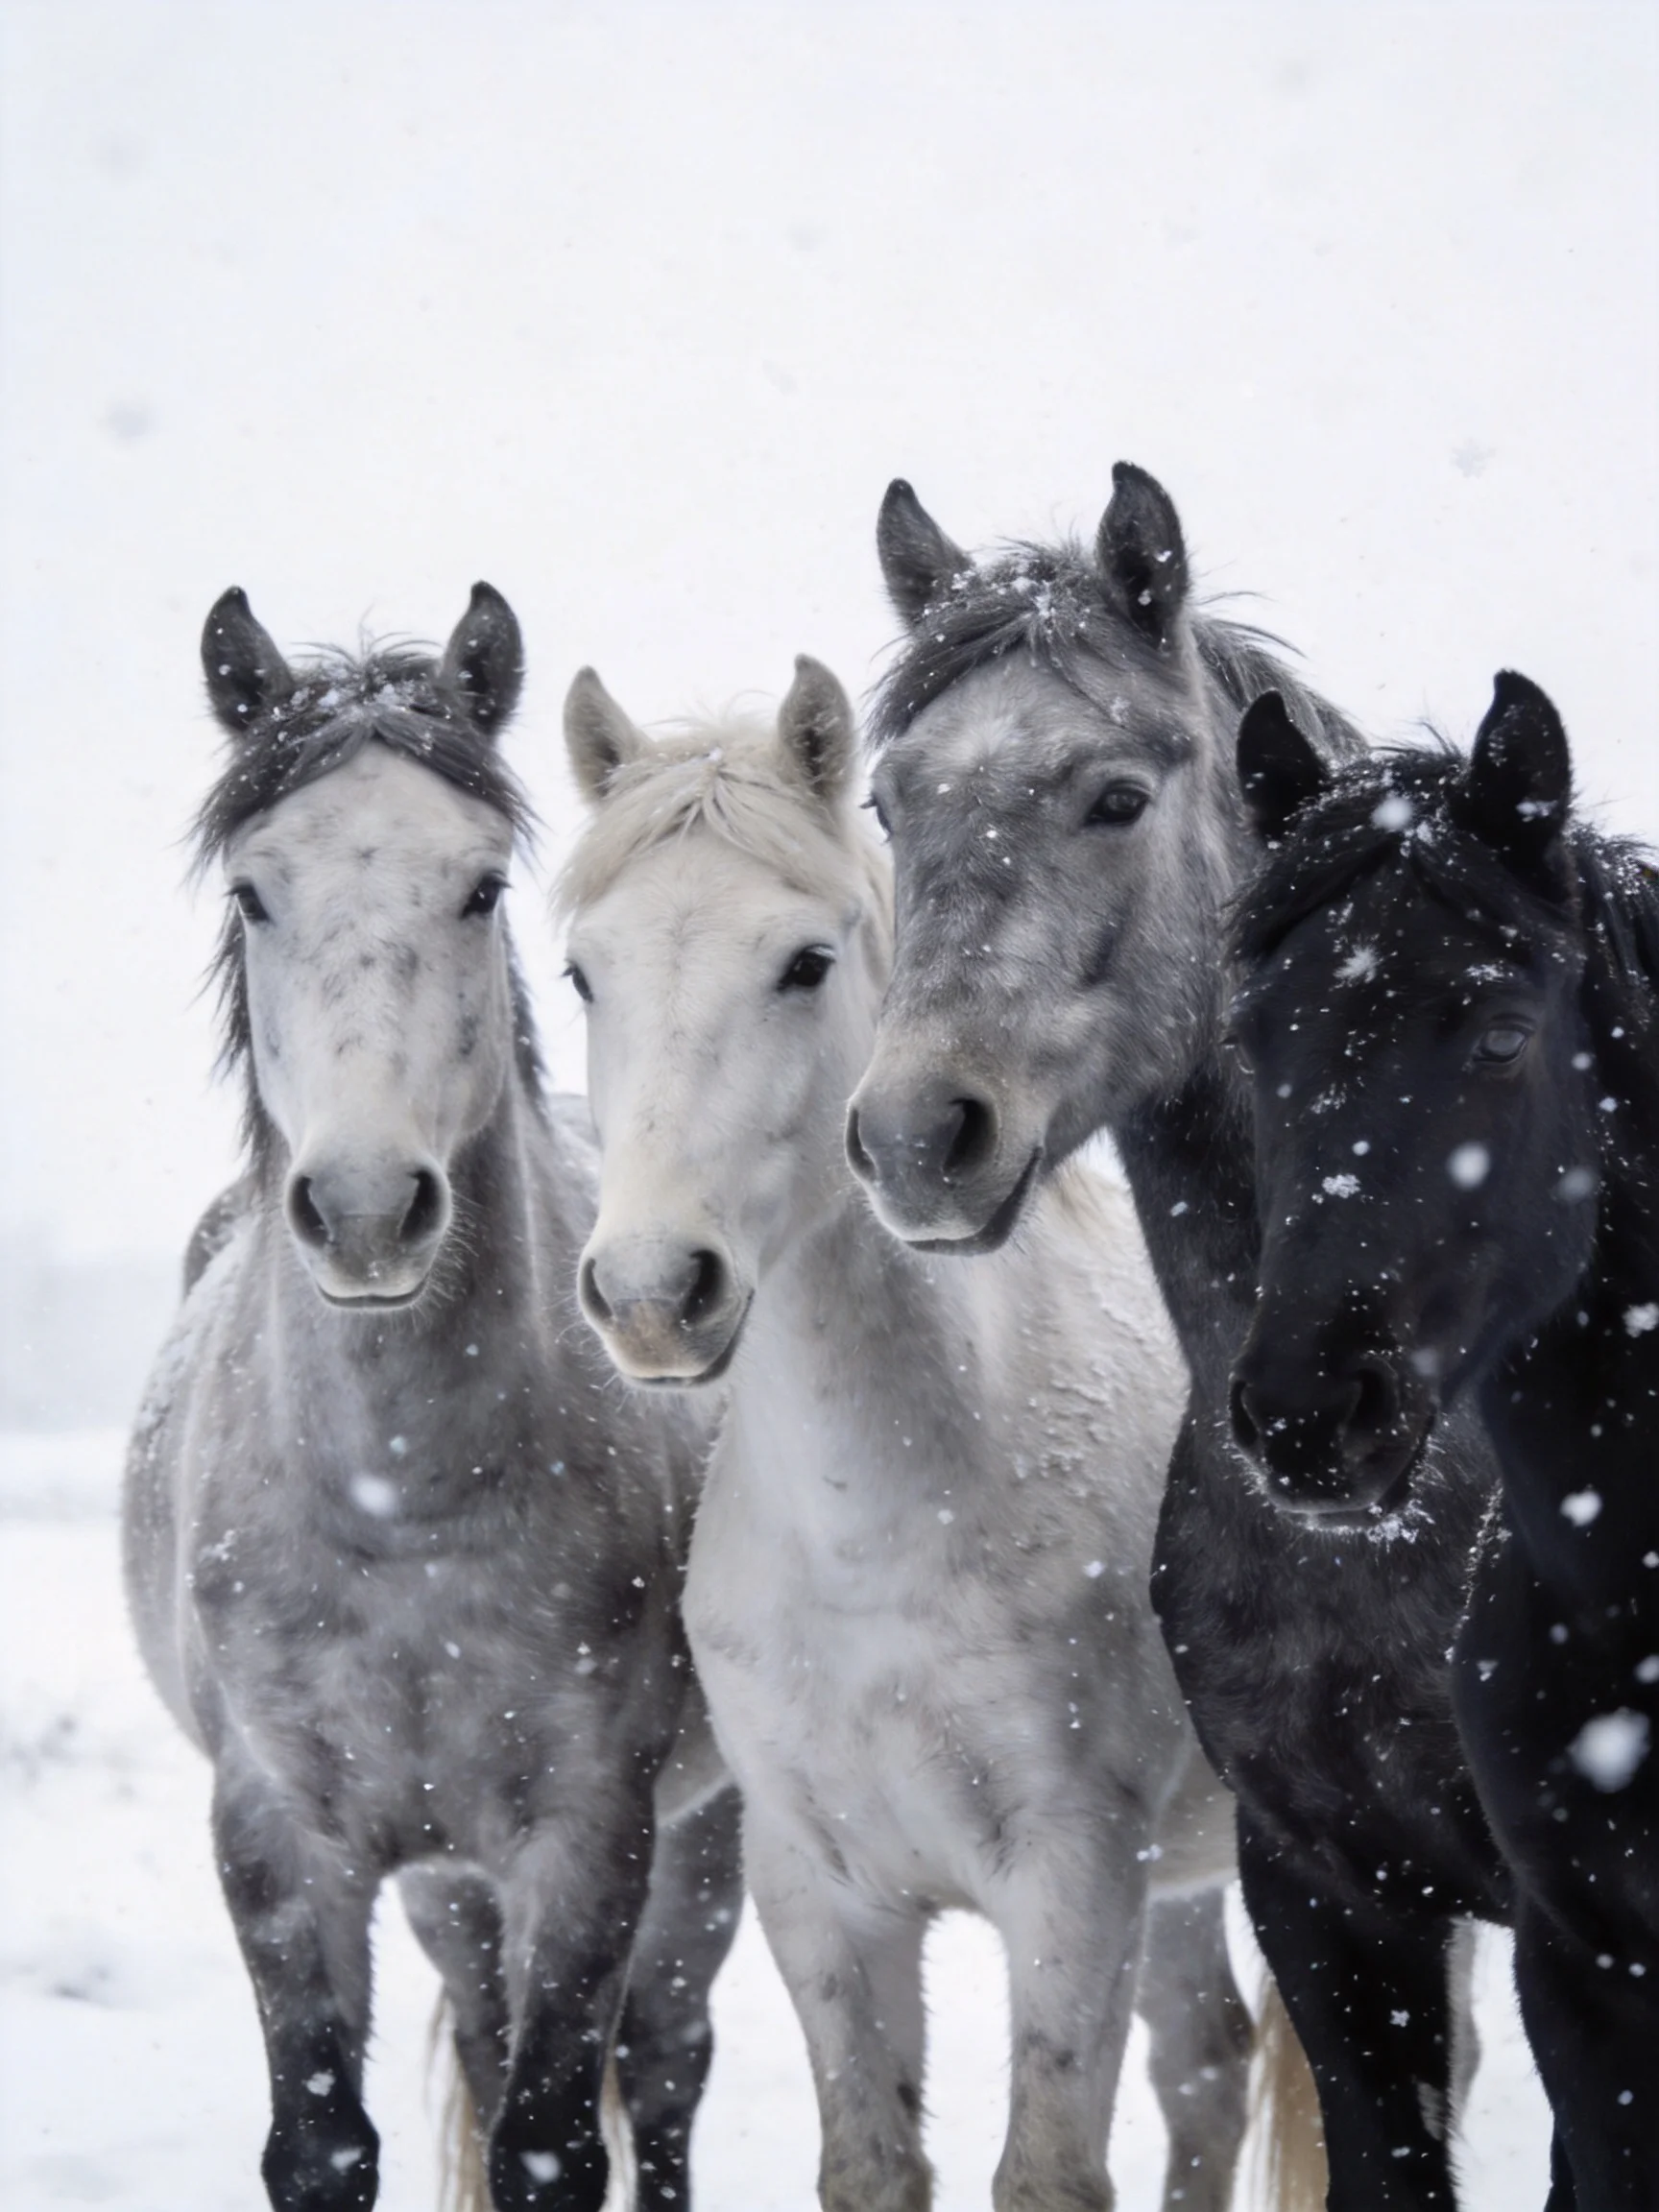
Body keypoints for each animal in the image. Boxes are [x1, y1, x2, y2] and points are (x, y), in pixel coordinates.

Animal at [122, 586, 741, 2212]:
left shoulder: (592, 1838)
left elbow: (551, 2141)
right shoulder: (281, 1838)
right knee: (479, 2020)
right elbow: (324, 2144)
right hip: (449, 1883)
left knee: (666, 2068)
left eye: (476, 890)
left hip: (702, 1840)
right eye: (255, 895)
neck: (404, 1506)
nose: (363, 1213)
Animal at [554, 657, 1262, 2212]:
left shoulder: (1074, 1881)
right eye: (582, 973)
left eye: (805, 963)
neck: (879, 1532)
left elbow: (1046, 2168)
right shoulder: (820, 1894)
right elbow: (873, 2162)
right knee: (1210, 2068)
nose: (652, 1293)